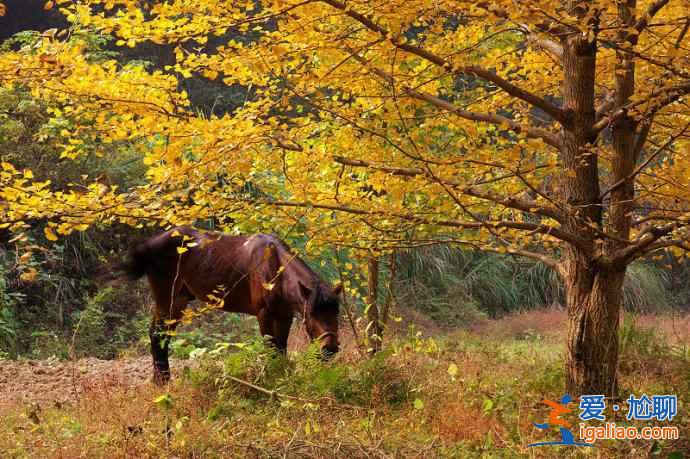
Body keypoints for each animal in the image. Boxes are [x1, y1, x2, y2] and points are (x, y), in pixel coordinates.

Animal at [121, 227, 342, 384]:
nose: (329, 348)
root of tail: (149, 245)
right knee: (157, 334)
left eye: (336, 313)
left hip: (179, 301)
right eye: (312, 314)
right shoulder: (264, 314)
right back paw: (162, 381)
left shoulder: (284, 315)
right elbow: (270, 349)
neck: (275, 269)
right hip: (167, 298)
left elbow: (281, 349)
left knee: (162, 334)